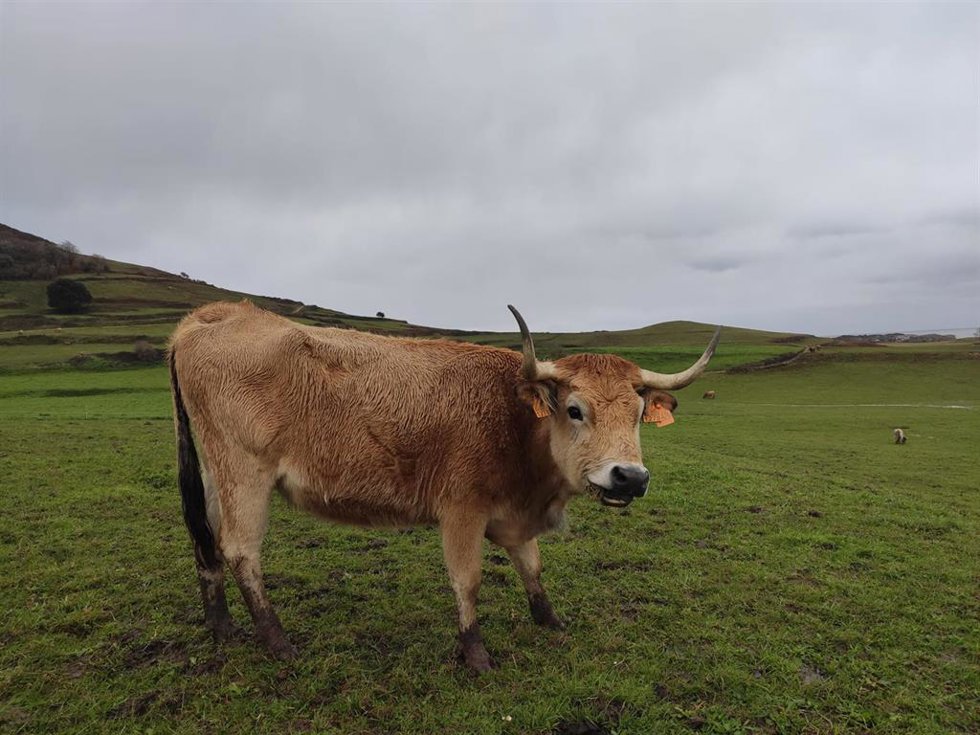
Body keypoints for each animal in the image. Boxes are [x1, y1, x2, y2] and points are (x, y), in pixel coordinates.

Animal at [168, 301, 720, 672]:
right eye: (574, 409)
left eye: (640, 412)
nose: (630, 477)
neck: (513, 417)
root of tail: (213, 316)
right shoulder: (461, 510)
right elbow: (467, 580)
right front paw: (475, 654)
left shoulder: (512, 515)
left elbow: (532, 566)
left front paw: (550, 622)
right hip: (245, 473)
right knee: (241, 550)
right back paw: (277, 641)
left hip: (215, 474)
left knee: (205, 541)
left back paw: (222, 627)